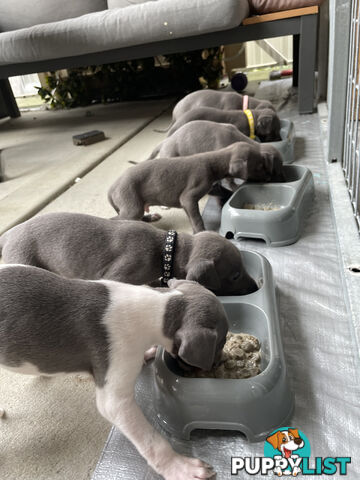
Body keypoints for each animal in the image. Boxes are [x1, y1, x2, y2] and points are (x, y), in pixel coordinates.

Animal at [0, 214, 258, 296]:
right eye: (235, 276)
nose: (256, 287)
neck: (165, 249)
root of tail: (9, 234)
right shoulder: (119, 274)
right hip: (24, 259)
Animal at [0, 266, 228, 480]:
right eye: (221, 342)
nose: (218, 364)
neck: (156, 307)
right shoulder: (115, 401)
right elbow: (152, 440)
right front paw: (180, 467)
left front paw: (148, 352)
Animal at [108, 141, 282, 232]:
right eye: (259, 166)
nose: (269, 178)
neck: (213, 162)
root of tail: (112, 188)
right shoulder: (189, 196)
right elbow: (196, 218)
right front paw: (201, 233)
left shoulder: (211, 187)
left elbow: (221, 191)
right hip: (131, 203)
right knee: (117, 219)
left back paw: (150, 217)